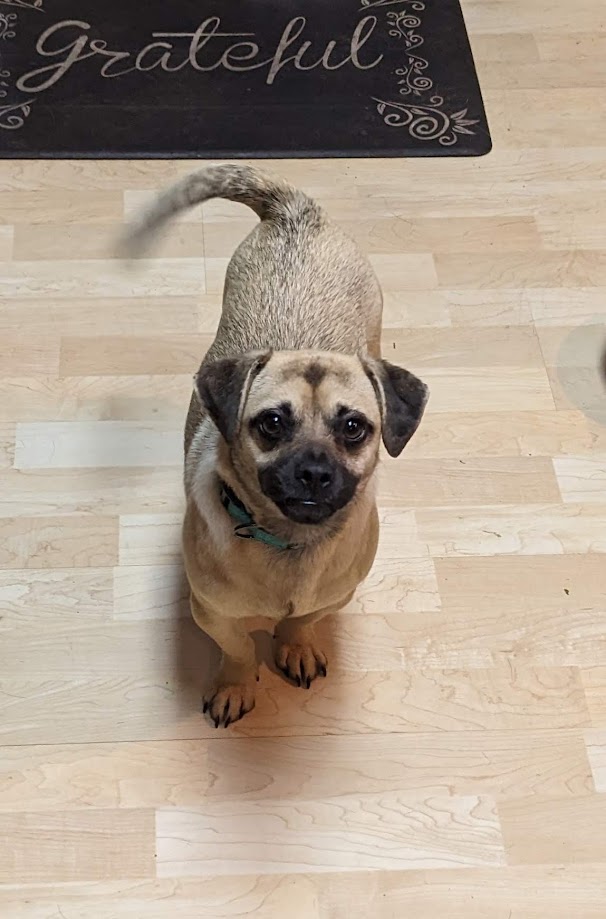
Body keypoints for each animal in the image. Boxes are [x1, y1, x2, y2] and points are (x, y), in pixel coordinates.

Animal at [121, 164, 430, 724]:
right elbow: (240, 649)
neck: (290, 542)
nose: (313, 472)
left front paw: (295, 645)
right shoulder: (213, 613)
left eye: (354, 427)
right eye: (271, 424)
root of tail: (296, 212)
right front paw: (237, 685)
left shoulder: (333, 598)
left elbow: (300, 622)